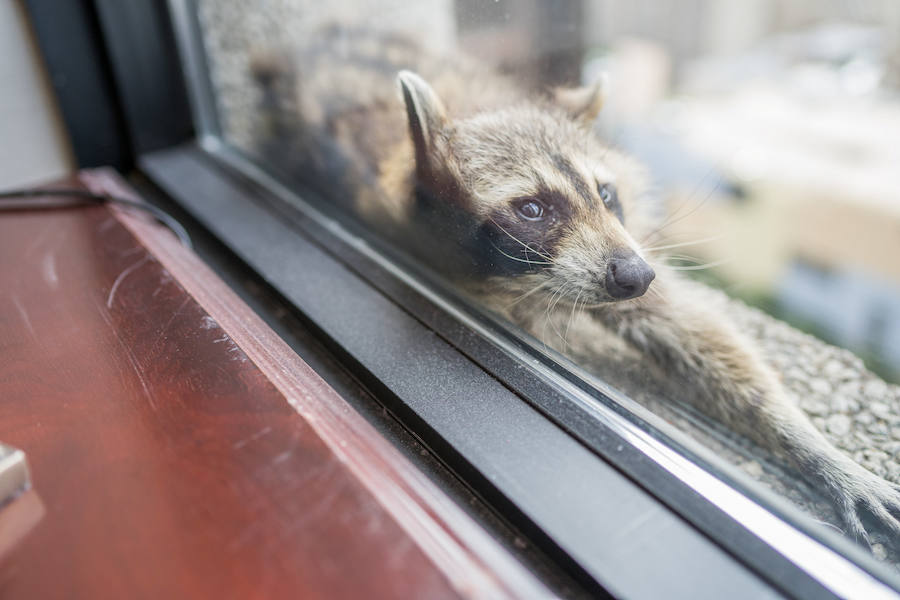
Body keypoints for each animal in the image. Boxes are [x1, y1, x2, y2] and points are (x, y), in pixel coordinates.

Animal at [251, 25, 900, 552]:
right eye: (534, 209)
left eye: (605, 194)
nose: (635, 276)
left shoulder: (624, 247)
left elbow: (692, 329)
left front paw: (812, 445)